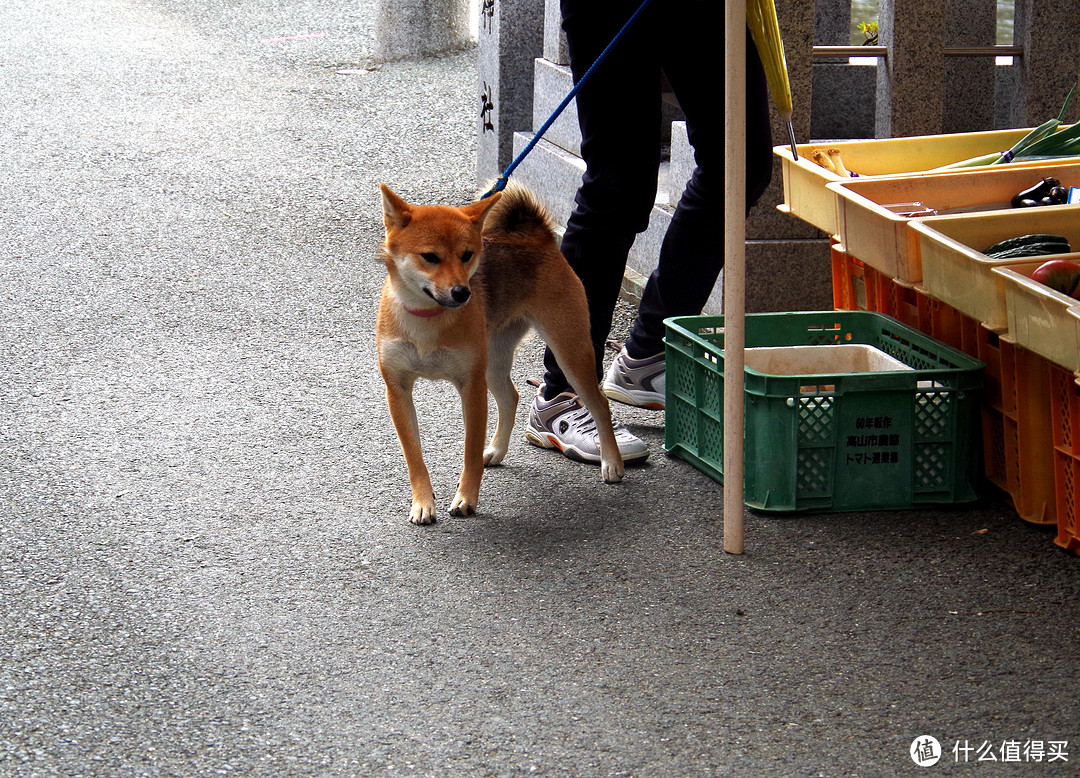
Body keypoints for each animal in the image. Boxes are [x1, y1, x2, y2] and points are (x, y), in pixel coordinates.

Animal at [375, 181, 626, 522]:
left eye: (467, 255)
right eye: (430, 257)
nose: (462, 292)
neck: (428, 320)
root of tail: (537, 236)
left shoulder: (472, 387)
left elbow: (469, 451)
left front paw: (466, 499)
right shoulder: (398, 390)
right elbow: (414, 456)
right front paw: (423, 502)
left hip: (569, 353)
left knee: (600, 404)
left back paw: (612, 462)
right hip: (494, 362)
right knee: (511, 397)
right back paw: (496, 450)